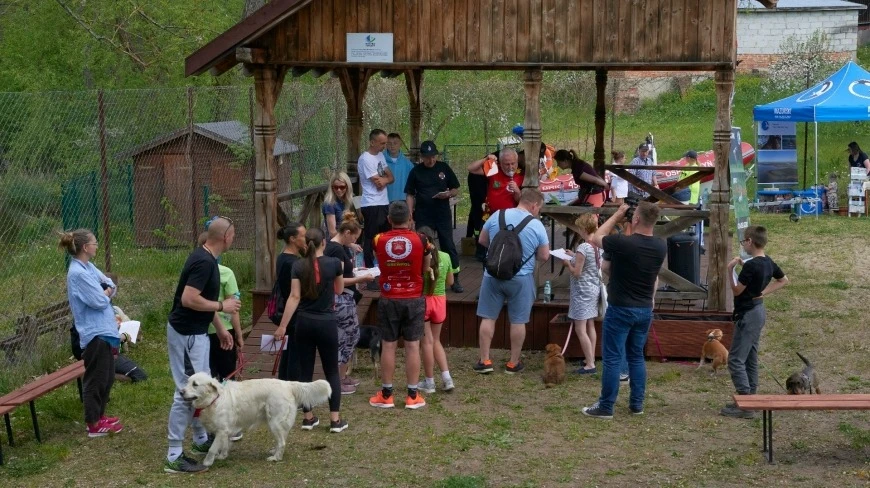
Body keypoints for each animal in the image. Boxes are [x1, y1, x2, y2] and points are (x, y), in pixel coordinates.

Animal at [182, 374, 332, 466]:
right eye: (187, 382)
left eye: (195, 384)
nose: (181, 391)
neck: (214, 399)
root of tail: (287, 384)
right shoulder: (225, 430)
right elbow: (224, 445)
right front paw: (222, 456)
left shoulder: (222, 430)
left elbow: (212, 448)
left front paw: (207, 462)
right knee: (281, 439)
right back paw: (274, 451)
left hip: (274, 422)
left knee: (282, 442)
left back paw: (276, 458)